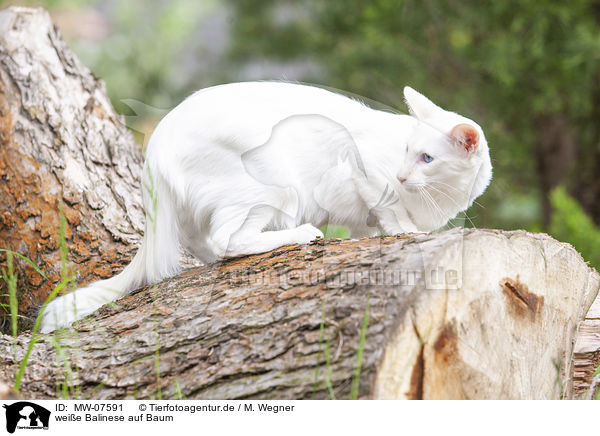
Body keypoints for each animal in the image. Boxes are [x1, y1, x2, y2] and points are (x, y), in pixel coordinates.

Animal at [41, 82, 492, 332]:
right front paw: (405, 230)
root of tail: (155, 148)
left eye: (426, 158)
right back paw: (298, 235)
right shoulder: (361, 171)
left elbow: (367, 225)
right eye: (407, 152)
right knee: (226, 240)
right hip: (274, 185)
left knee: (205, 242)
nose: (402, 175)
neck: (438, 197)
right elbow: (390, 212)